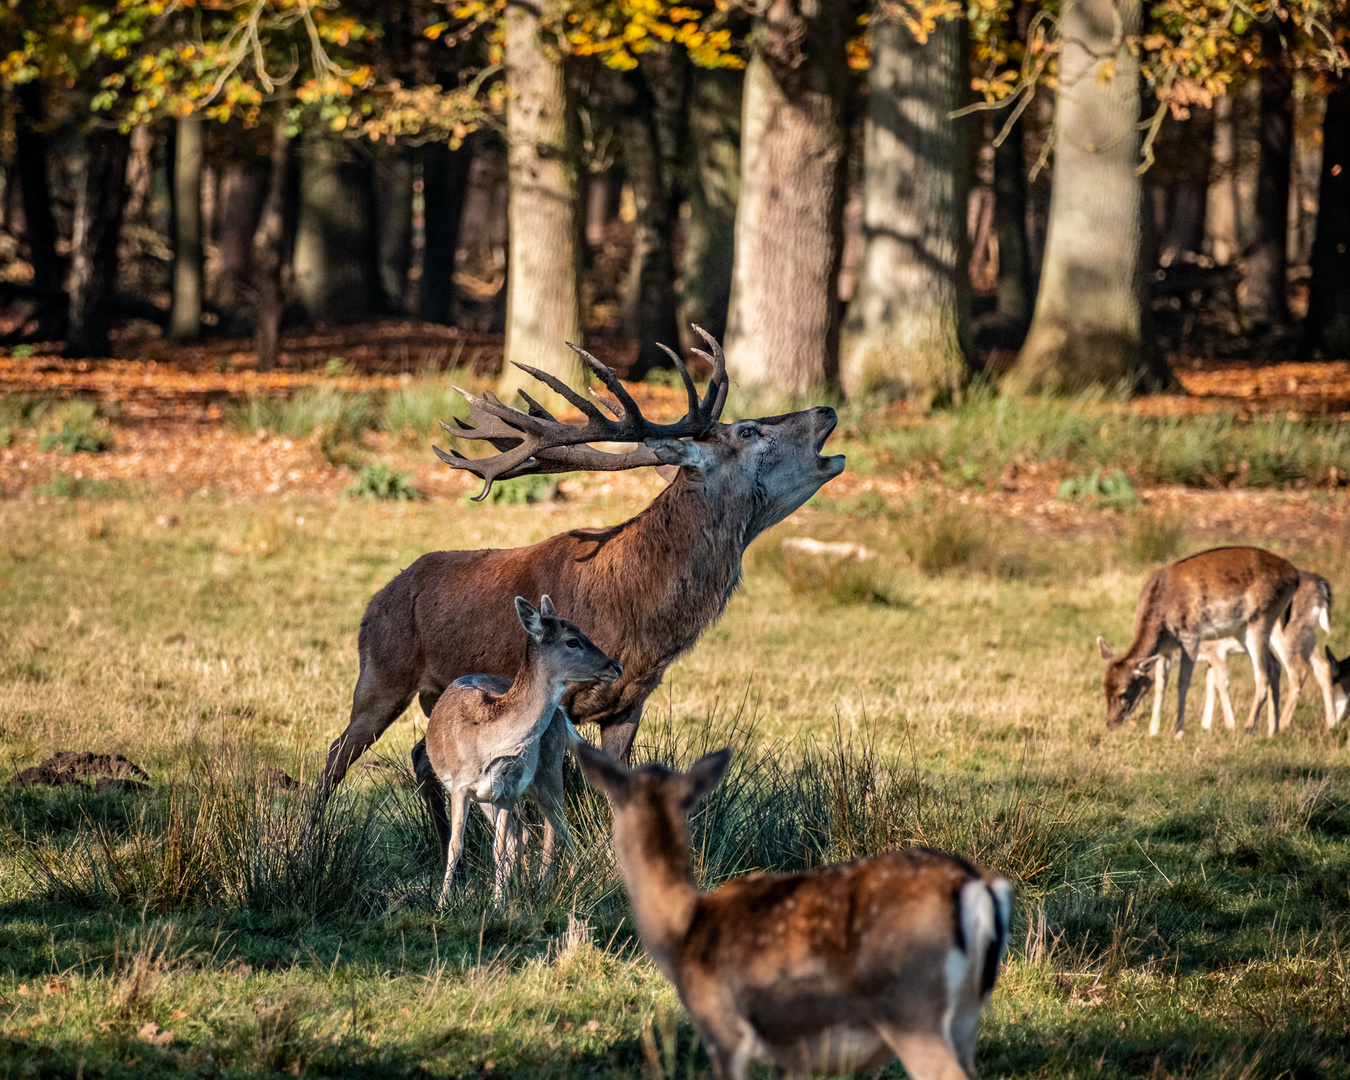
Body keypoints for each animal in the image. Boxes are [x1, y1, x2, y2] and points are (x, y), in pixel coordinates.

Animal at [322, 329, 842, 858]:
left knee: (422, 755)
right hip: (382, 672)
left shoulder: (632, 702)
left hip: (434, 694)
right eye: (749, 431)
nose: (825, 409)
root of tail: (375, 600)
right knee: (337, 753)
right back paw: (313, 838)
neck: (638, 617)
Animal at [421, 599, 621, 901]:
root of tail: (561, 715)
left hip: (549, 770)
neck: (486, 745)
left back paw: (565, 885)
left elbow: (500, 848)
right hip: (501, 795)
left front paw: (497, 902)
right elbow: (457, 845)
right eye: (572, 641)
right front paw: (445, 903)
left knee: (558, 827)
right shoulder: (461, 786)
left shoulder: (509, 788)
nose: (616, 666)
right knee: (528, 833)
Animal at [577, 745, 1015, 1080]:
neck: (682, 931)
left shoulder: (723, 1032)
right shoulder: (794, 1056)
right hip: (965, 1017)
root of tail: (979, 885)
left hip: (912, 1007)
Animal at [1096, 548, 1306, 734]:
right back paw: (1273, 730)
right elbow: (1161, 682)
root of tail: (1294, 576)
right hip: (1243, 631)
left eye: (1124, 691)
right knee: (1275, 665)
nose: (1110, 723)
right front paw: (1153, 731)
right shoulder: (1165, 648)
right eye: (1104, 687)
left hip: (1261, 618)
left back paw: (1249, 728)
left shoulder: (1191, 635)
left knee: (1263, 674)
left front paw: (1179, 732)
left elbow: (1183, 682)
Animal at [1150, 564, 1350, 734]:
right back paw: (1330, 724)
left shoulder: (1216, 650)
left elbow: (1221, 682)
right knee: (1322, 665)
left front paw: (1229, 725)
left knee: (1297, 670)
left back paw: (1281, 724)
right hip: (1307, 634)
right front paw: (1205, 725)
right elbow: (1210, 681)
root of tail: (1321, 585)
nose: (1151, 730)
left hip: (1287, 634)